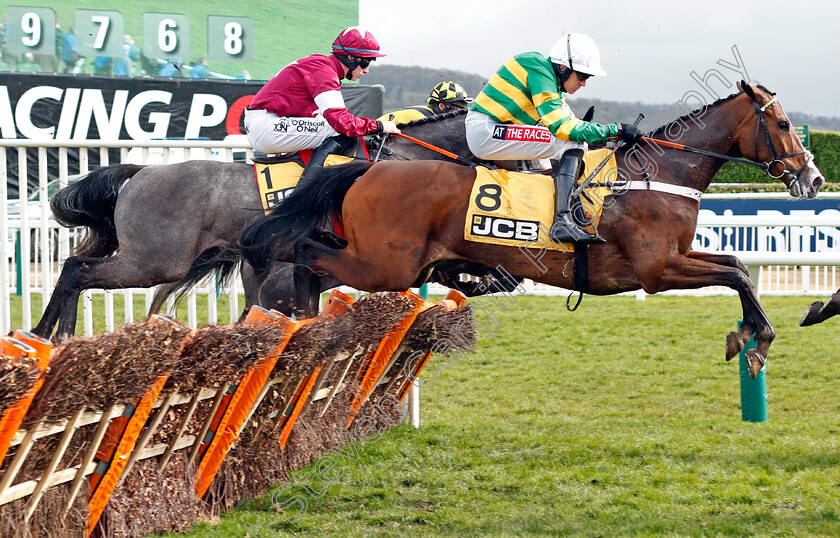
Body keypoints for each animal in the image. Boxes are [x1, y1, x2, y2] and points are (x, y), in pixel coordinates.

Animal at [240, 82, 824, 376]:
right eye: (782, 124)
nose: (814, 178)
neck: (660, 174)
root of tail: (368, 167)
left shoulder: (676, 260)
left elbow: (738, 265)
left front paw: (753, 333)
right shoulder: (657, 271)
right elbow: (739, 274)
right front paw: (757, 339)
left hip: (392, 262)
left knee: (310, 258)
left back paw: (305, 328)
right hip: (386, 264)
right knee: (304, 252)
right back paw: (298, 324)